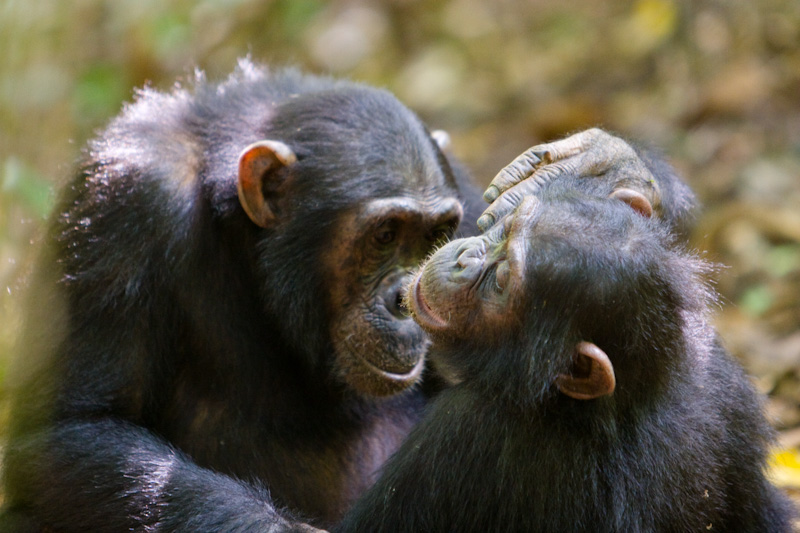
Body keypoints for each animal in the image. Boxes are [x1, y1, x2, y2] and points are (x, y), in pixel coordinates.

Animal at [4, 56, 708, 528]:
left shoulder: (469, 193)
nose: (403, 297)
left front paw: (605, 164)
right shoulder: (122, 203)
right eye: (384, 234)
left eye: (432, 233)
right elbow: (73, 429)